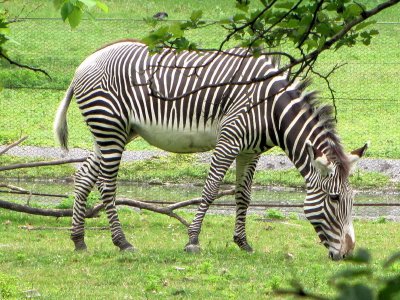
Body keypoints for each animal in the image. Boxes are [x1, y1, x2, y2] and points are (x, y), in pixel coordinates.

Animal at [54, 39, 368, 260]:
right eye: (335, 199)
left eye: (353, 201)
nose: (347, 254)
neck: (272, 109)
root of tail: (85, 62)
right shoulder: (229, 140)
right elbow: (211, 189)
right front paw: (193, 240)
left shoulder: (250, 151)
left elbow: (244, 196)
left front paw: (243, 243)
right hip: (110, 127)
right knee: (107, 185)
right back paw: (122, 242)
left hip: (117, 131)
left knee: (83, 175)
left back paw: (79, 240)